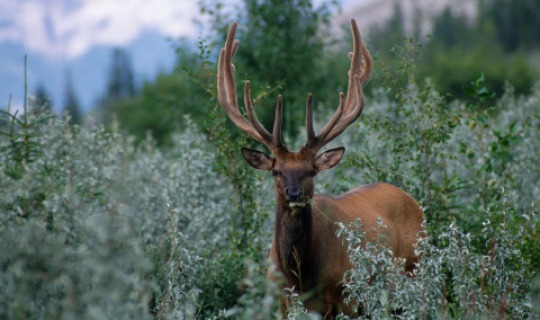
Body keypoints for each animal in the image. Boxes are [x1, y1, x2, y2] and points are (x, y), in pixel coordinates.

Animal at [216, 19, 426, 318]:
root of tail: (412, 201)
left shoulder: (347, 296)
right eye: (275, 171)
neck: (300, 278)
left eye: (312, 170)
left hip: (414, 268)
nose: (294, 194)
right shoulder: (281, 301)